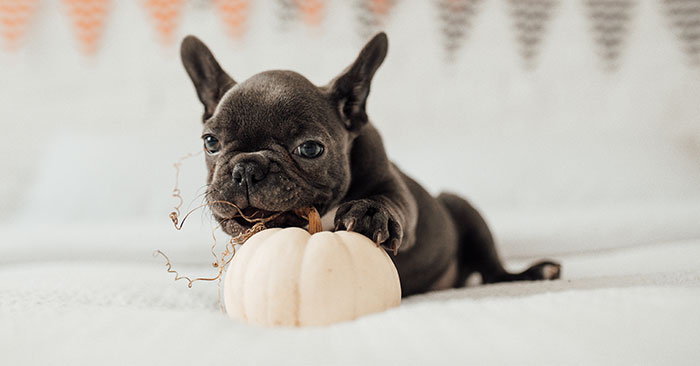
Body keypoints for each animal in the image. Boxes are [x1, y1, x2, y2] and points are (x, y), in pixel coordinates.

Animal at [182, 30, 564, 294]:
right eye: (210, 142)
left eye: (310, 149)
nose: (246, 168)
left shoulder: (394, 187)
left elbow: (390, 202)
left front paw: (369, 212)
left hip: (462, 207)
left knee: (493, 270)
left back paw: (533, 273)